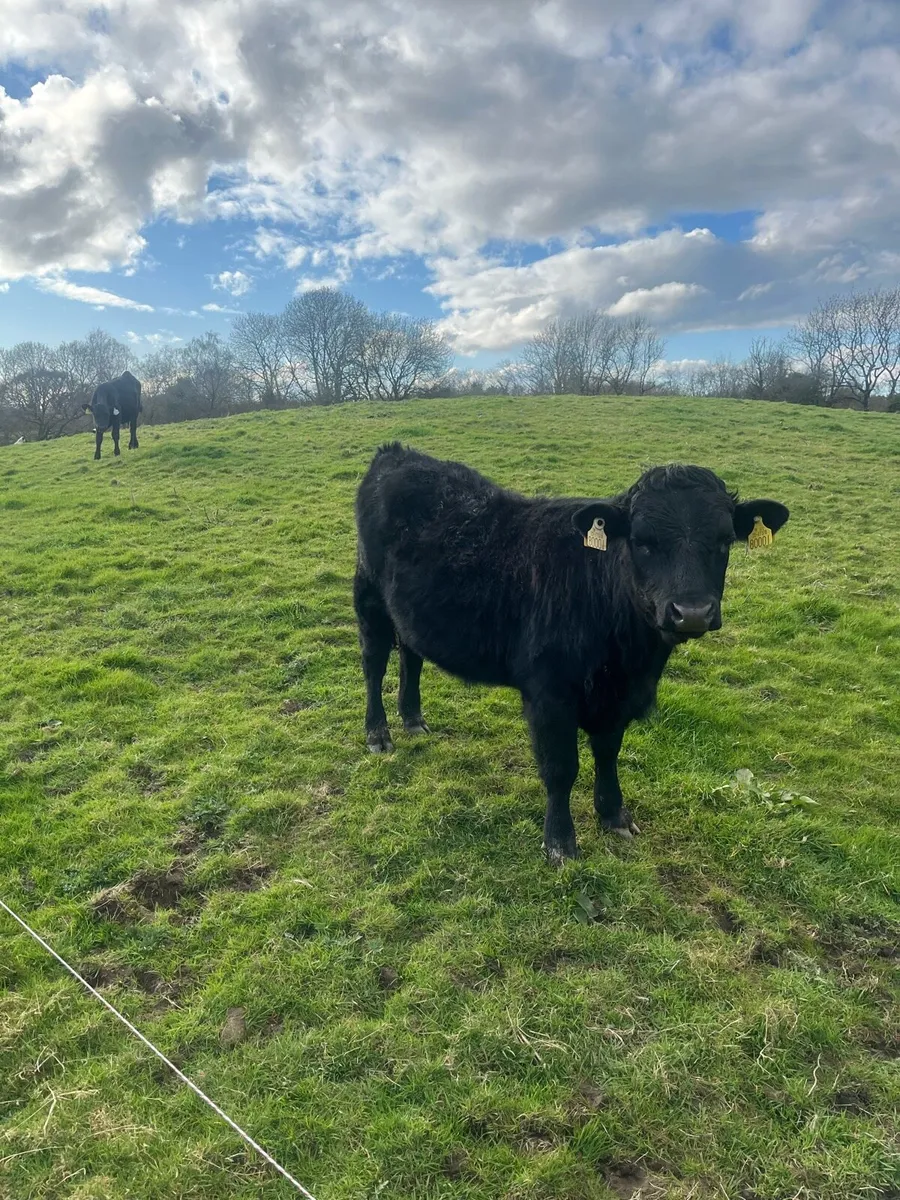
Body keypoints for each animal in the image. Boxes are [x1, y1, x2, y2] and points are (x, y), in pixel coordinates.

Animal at [354, 443, 790, 864]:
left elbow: (608, 753)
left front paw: (614, 815)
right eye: (643, 542)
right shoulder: (550, 695)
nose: (693, 612)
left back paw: (413, 719)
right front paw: (560, 843)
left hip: (408, 611)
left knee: (411, 654)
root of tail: (399, 453)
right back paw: (378, 733)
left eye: (723, 541)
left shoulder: (618, 697)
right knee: (374, 664)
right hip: (369, 595)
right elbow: (561, 768)